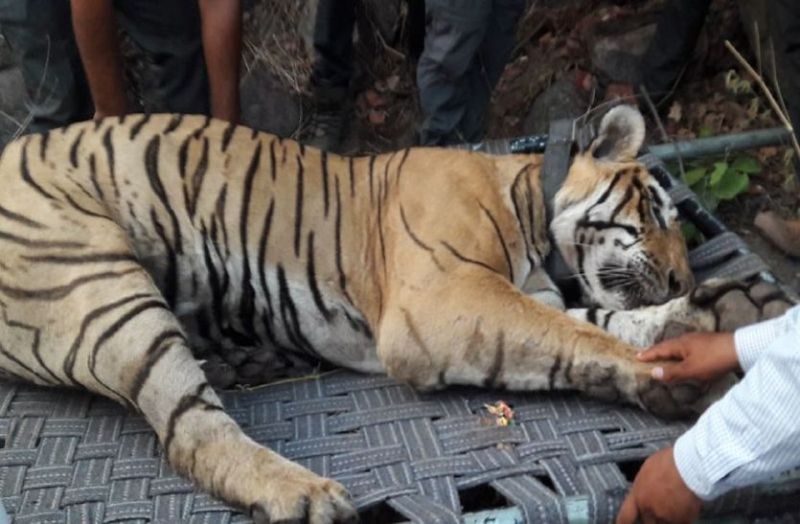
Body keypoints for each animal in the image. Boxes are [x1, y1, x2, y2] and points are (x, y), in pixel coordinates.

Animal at [0, 104, 790, 523]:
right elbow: (573, 332)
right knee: (190, 432)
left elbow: (596, 322)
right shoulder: (442, 301)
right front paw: (681, 368)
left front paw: (706, 322)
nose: (685, 274)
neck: (535, 219)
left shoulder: (525, 293)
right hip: (106, 285)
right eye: (654, 214)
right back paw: (307, 496)